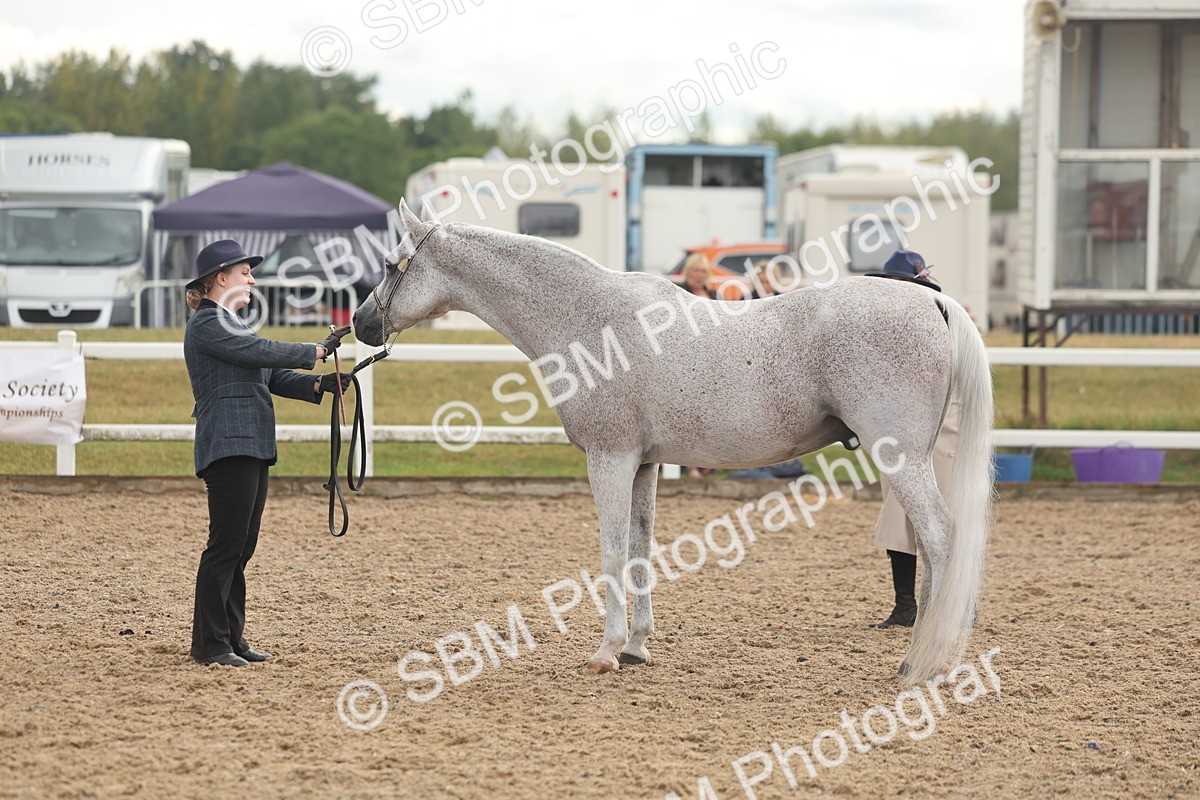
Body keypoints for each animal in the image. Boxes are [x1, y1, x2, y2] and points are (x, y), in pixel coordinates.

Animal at [353, 199, 994, 686]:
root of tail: (930, 298)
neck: (591, 322)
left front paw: (606, 651)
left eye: (389, 263)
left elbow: (612, 551)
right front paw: (637, 646)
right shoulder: (644, 465)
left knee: (940, 538)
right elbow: (641, 547)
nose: (359, 324)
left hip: (901, 457)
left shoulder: (609, 459)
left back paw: (922, 662)